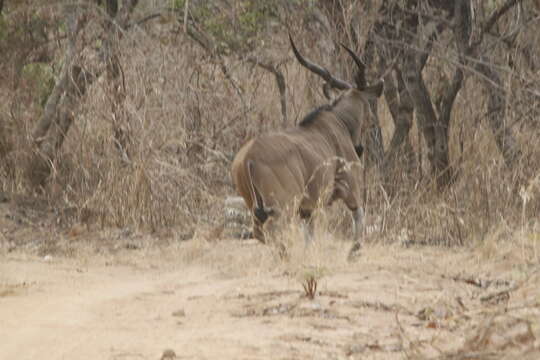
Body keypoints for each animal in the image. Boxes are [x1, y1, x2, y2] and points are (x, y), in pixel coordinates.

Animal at [230, 34, 382, 258]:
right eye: (369, 111)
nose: (360, 148)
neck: (338, 122)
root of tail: (247, 158)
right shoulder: (350, 189)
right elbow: (359, 216)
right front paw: (352, 253)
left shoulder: (307, 209)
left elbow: (309, 236)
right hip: (283, 205)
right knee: (271, 229)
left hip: (257, 206)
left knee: (259, 232)